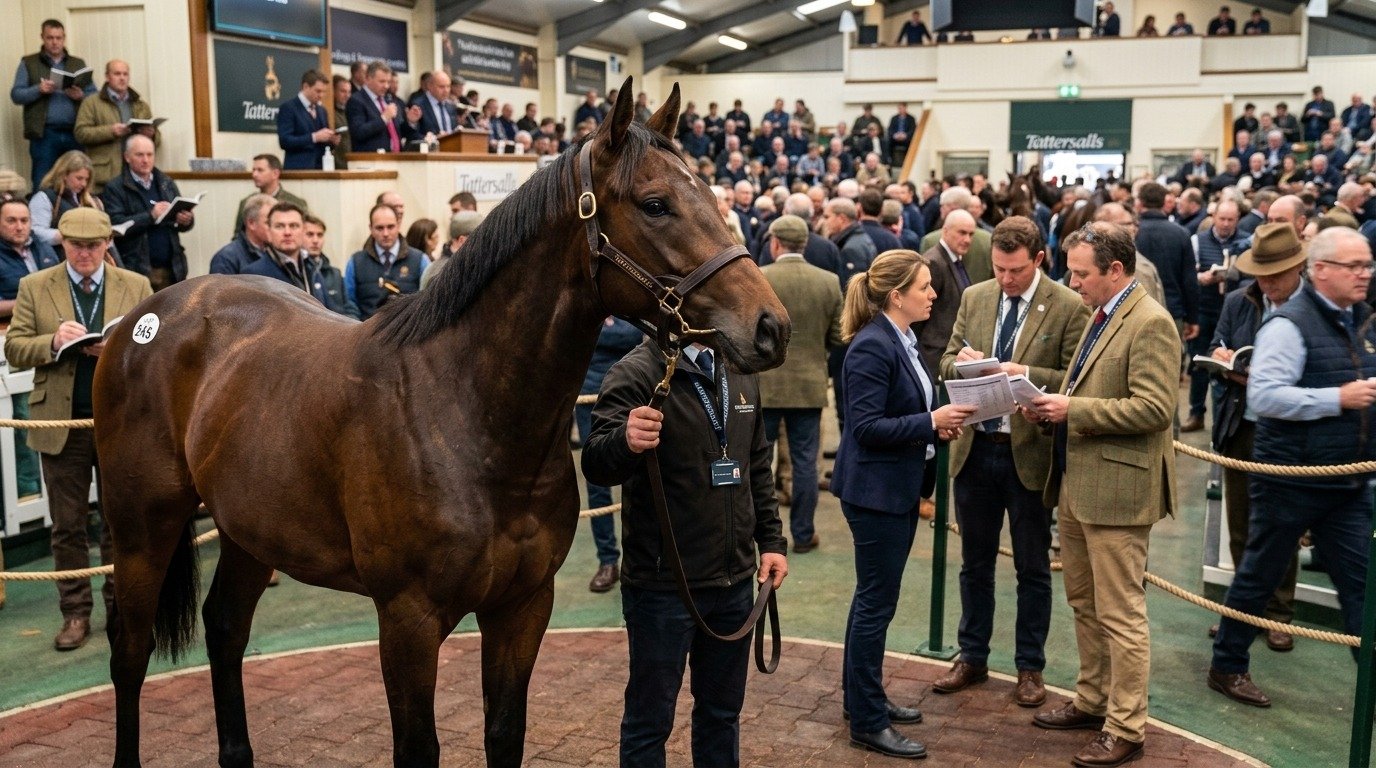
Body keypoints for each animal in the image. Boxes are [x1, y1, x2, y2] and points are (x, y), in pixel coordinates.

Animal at [93, 77, 790, 768]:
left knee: (225, 629)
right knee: (129, 655)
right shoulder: (408, 621)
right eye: (655, 204)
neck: (465, 411)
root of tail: (143, 318)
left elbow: (504, 732)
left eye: (712, 195)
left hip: (248, 531)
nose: (772, 326)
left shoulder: (522, 607)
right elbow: (417, 747)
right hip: (140, 532)